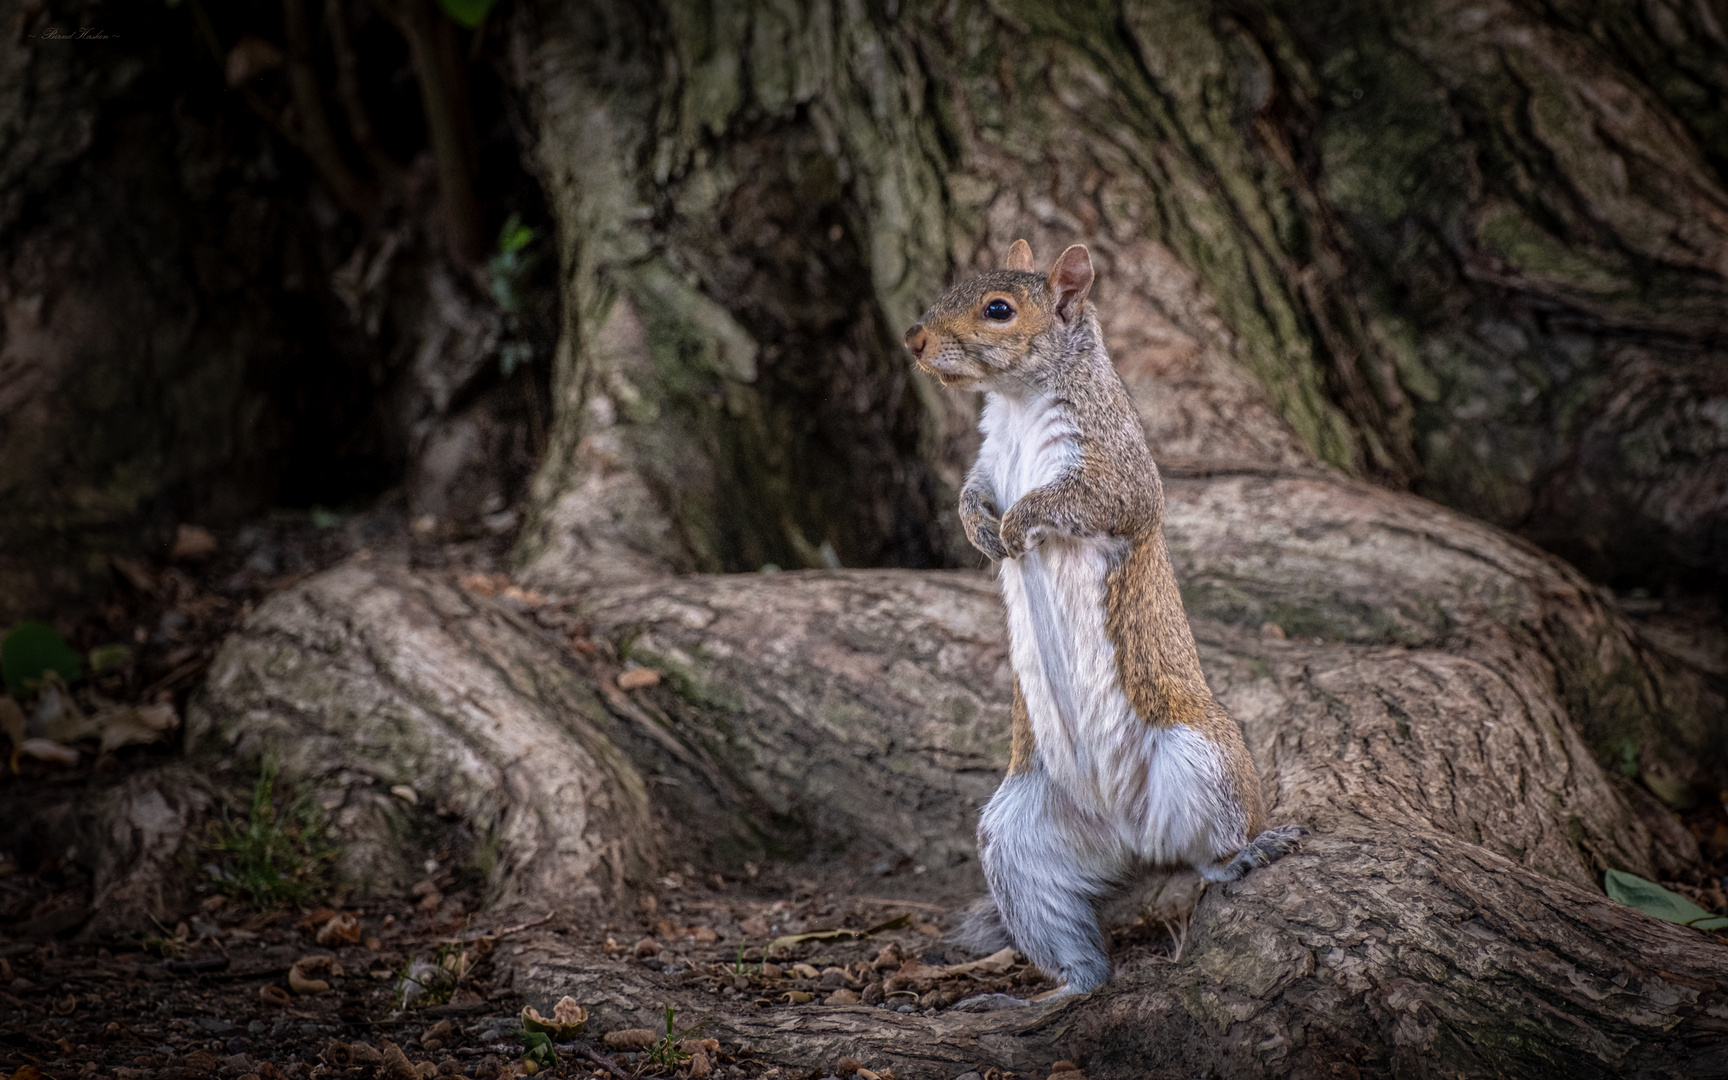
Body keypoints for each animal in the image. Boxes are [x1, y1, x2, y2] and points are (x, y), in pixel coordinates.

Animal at [905, 240, 1299, 995]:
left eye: (997, 309)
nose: (914, 341)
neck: (1018, 403)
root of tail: (1130, 836)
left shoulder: (1112, 467)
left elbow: (1084, 499)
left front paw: (1018, 525)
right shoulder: (988, 461)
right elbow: (973, 493)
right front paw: (981, 530)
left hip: (1203, 760)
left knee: (1207, 855)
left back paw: (1243, 854)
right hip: (1016, 841)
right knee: (1081, 955)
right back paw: (1050, 995)